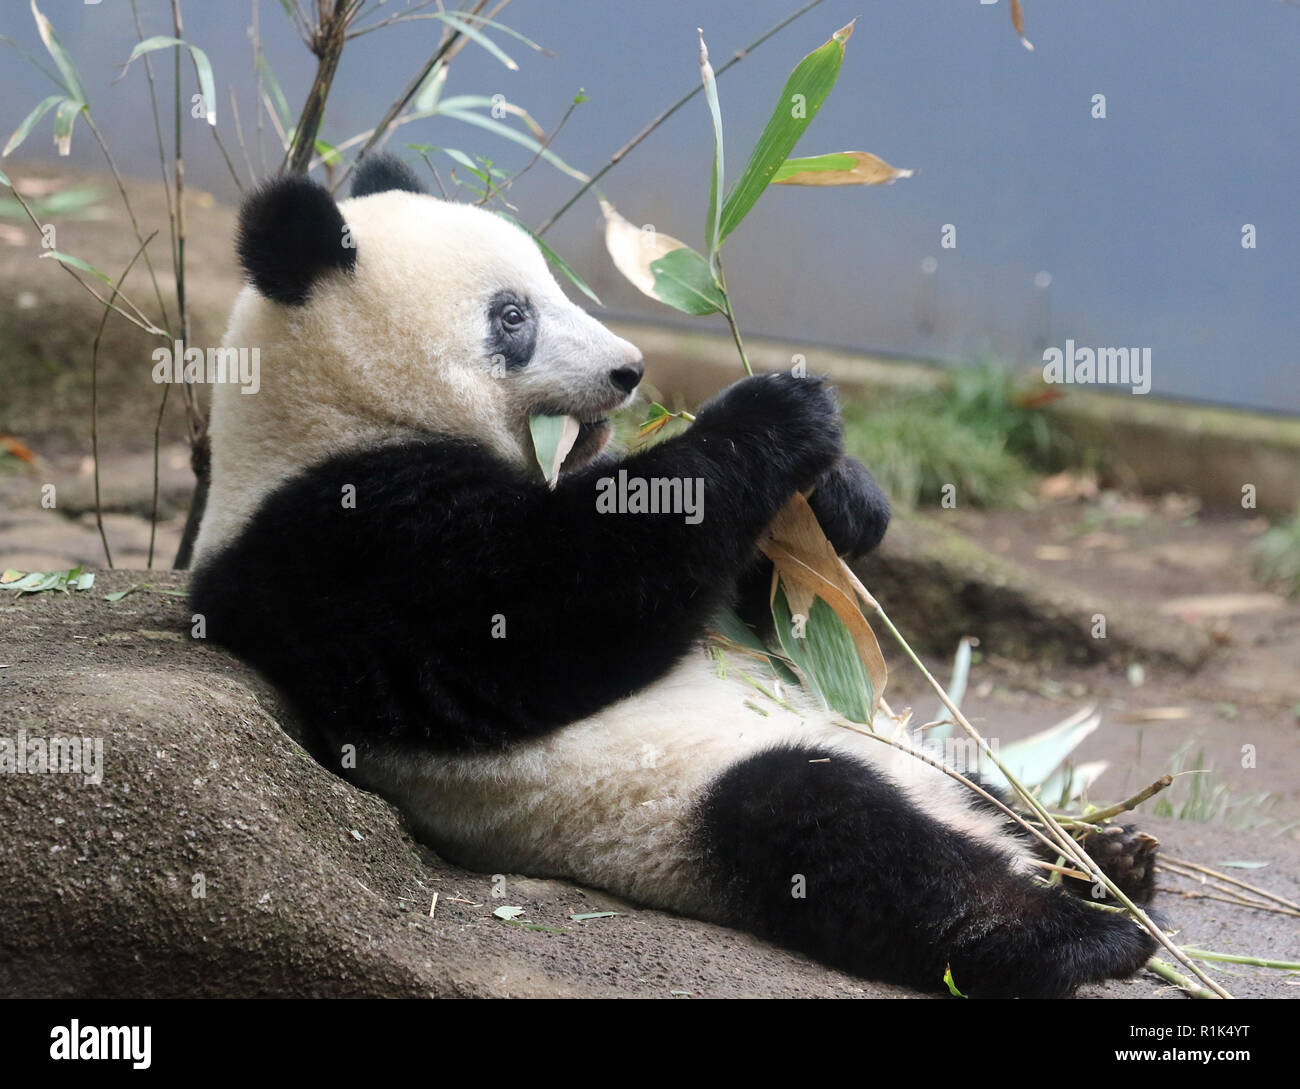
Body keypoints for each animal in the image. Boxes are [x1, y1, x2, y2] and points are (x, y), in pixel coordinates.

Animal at [185, 153, 1159, 998]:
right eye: (513, 316)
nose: (629, 370)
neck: (327, 416)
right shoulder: (346, 540)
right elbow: (548, 611)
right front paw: (778, 409)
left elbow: (770, 606)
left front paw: (841, 495)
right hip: (693, 805)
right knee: (841, 832)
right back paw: (1082, 928)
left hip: (915, 749)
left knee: (984, 787)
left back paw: (1109, 856)